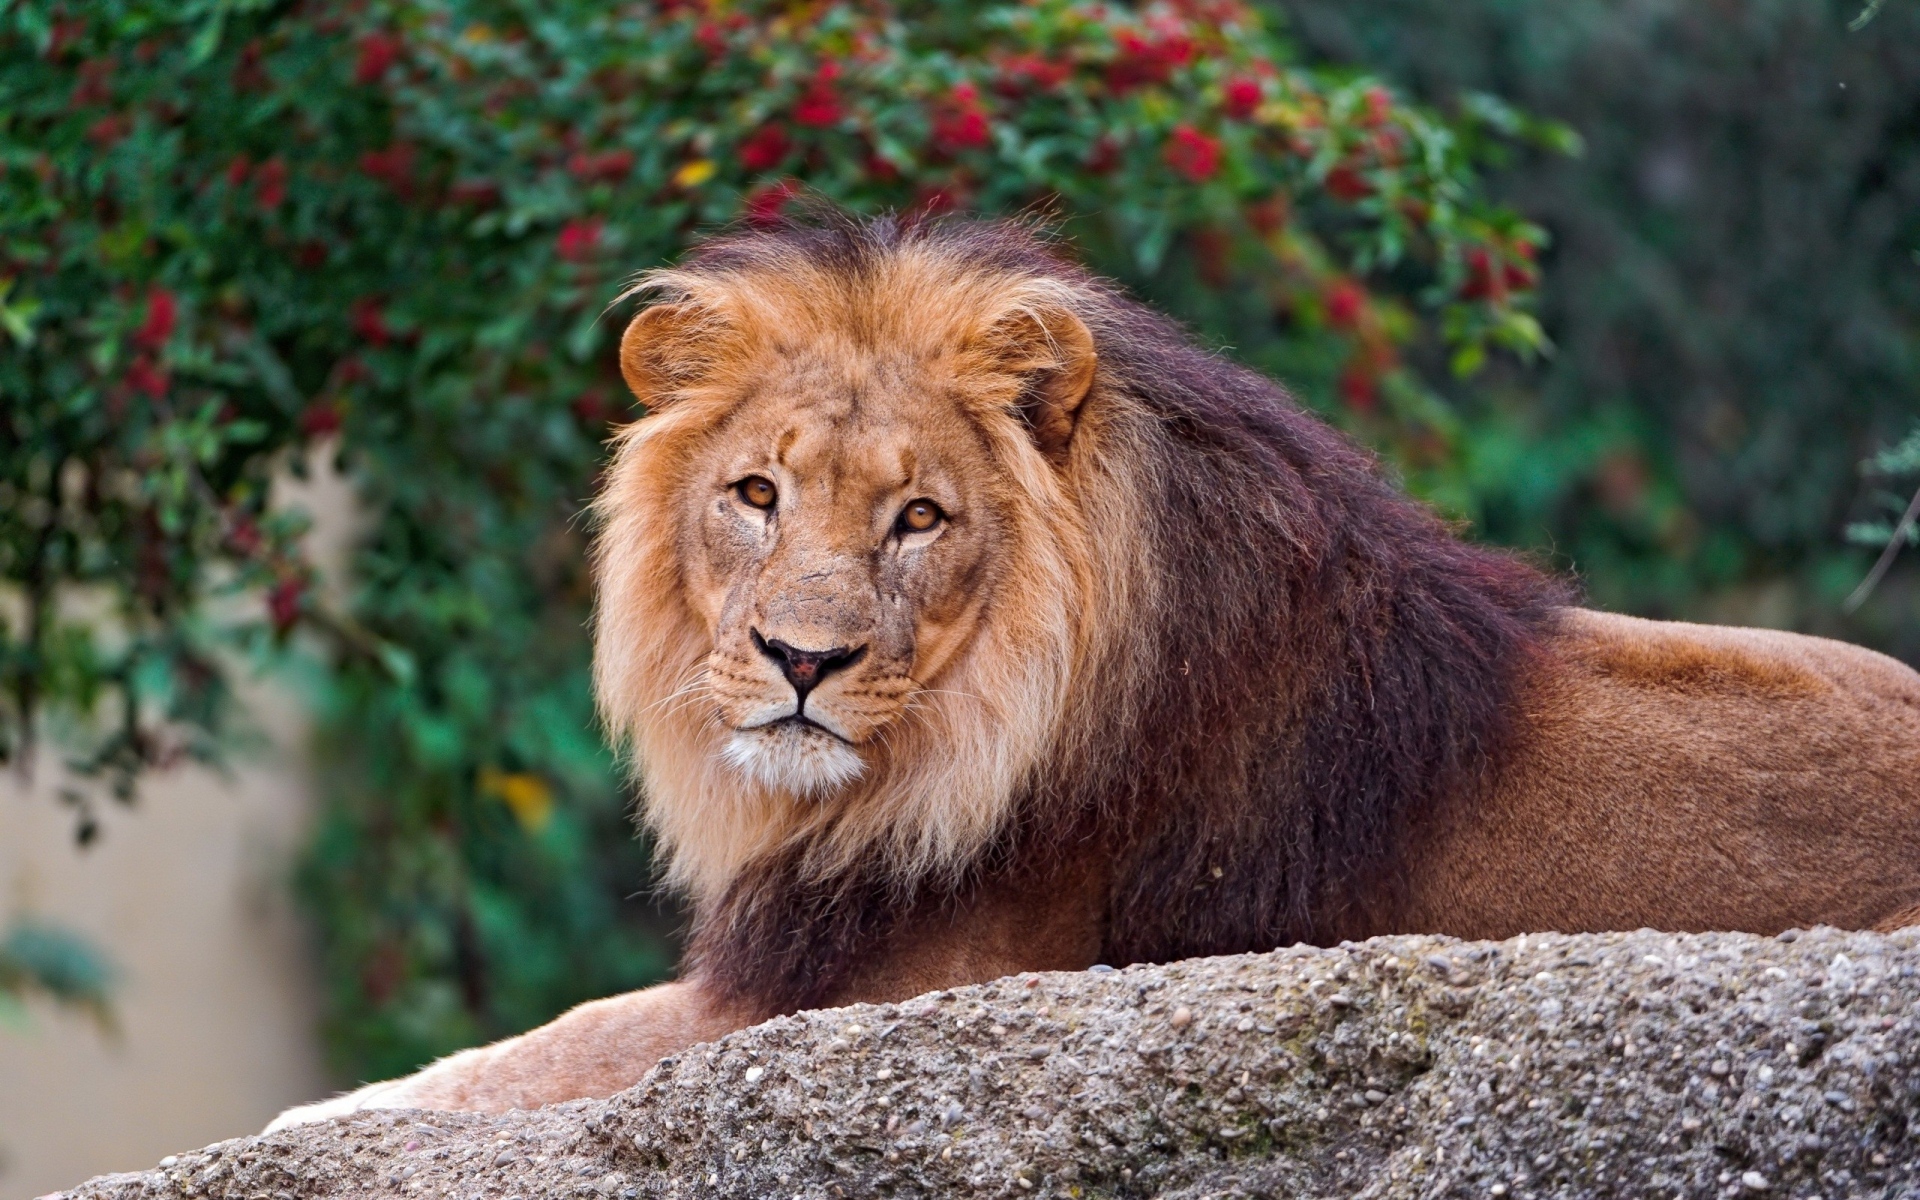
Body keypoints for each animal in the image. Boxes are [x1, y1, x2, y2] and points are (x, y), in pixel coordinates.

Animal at [269, 213, 1920, 1128]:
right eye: (756, 494)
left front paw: (324, 1118)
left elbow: (552, 1046)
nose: (801, 659)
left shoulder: (894, 993)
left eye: (919, 518)